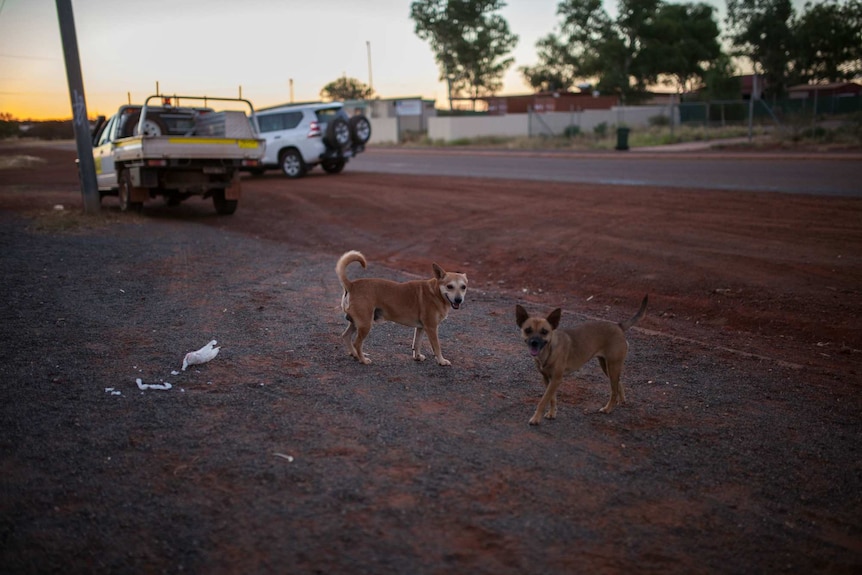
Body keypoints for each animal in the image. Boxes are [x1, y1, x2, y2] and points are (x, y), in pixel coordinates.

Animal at [340, 251, 472, 366]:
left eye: (463, 287)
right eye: (450, 286)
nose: (458, 300)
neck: (435, 292)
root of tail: (352, 285)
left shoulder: (421, 328)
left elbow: (417, 343)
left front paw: (417, 357)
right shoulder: (431, 328)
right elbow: (436, 347)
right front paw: (441, 361)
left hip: (357, 323)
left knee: (346, 336)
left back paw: (355, 355)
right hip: (365, 324)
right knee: (357, 343)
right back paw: (363, 359)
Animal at [516, 296, 644, 428]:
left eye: (544, 332)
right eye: (528, 330)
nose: (534, 342)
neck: (548, 351)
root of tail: (618, 326)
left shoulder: (556, 379)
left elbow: (543, 400)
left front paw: (536, 418)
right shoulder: (547, 379)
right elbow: (552, 398)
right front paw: (552, 413)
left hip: (612, 366)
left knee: (613, 390)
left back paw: (608, 408)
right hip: (607, 366)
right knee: (619, 382)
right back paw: (621, 400)